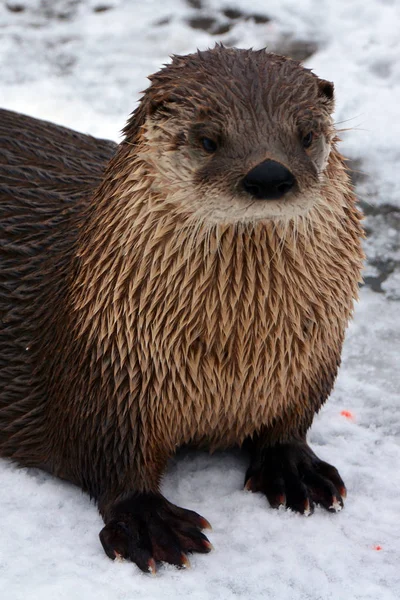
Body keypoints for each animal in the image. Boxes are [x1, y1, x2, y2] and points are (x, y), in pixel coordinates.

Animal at [0, 45, 364, 572]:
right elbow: (112, 458)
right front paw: (149, 522)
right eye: (209, 139)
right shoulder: (110, 378)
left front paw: (294, 468)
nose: (269, 174)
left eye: (307, 134)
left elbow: (289, 425)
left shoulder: (310, 364)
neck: (233, 357)